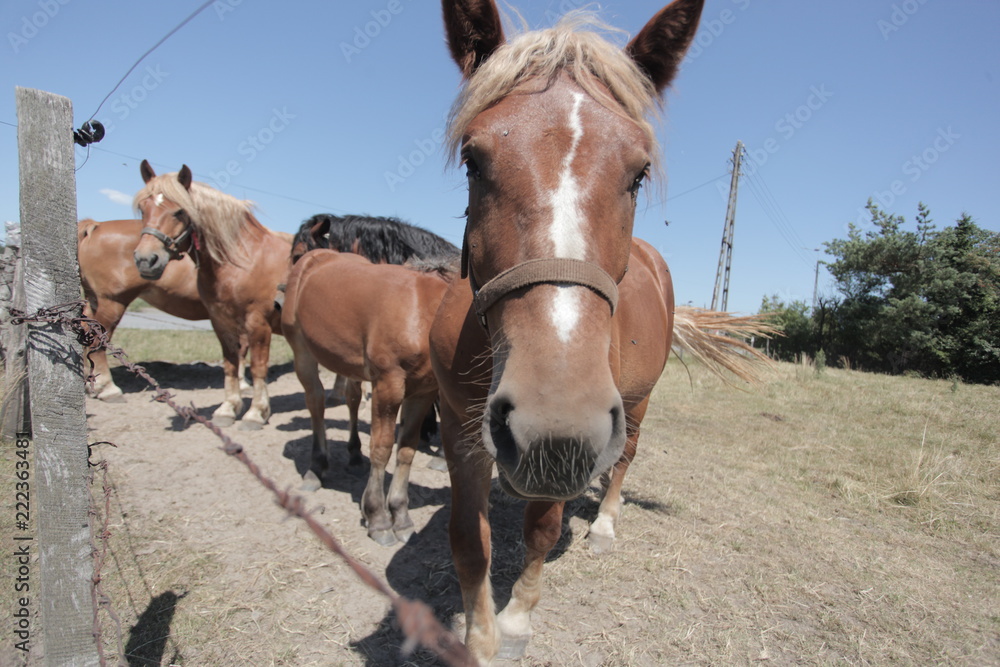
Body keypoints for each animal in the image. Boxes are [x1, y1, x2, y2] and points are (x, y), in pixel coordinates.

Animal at [131, 162, 292, 428]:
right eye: (143, 208)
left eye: (180, 212)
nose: (146, 260)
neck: (243, 259)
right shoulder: (221, 322)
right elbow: (230, 365)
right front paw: (228, 409)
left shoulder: (258, 324)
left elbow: (258, 368)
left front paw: (256, 412)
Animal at [282, 250, 454, 548]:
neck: (425, 311)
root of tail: (315, 257)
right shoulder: (388, 385)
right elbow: (382, 449)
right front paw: (378, 518)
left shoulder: (423, 391)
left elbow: (406, 450)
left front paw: (401, 516)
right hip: (302, 352)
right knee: (315, 403)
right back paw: (316, 468)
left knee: (351, 399)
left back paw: (353, 456)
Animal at [430, 1, 772, 664]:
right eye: (473, 160)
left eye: (639, 174)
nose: (552, 418)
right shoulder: (458, 429)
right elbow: (468, 542)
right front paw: (478, 638)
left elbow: (542, 529)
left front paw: (515, 620)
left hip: (637, 404)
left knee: (626, 458)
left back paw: (606, 525)